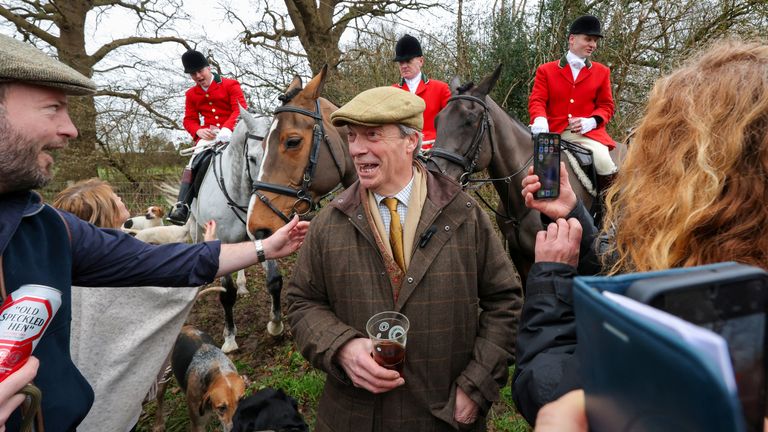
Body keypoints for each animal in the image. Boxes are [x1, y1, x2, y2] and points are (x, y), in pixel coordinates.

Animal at [189, 106, 282, 352]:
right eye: (252, 158)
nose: (267, 203)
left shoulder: (263, 235)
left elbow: (274, 280)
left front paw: (275, 325)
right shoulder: (221, 242)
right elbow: (227, 294)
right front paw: (230, 338)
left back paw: (242, 285)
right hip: (194, 225)